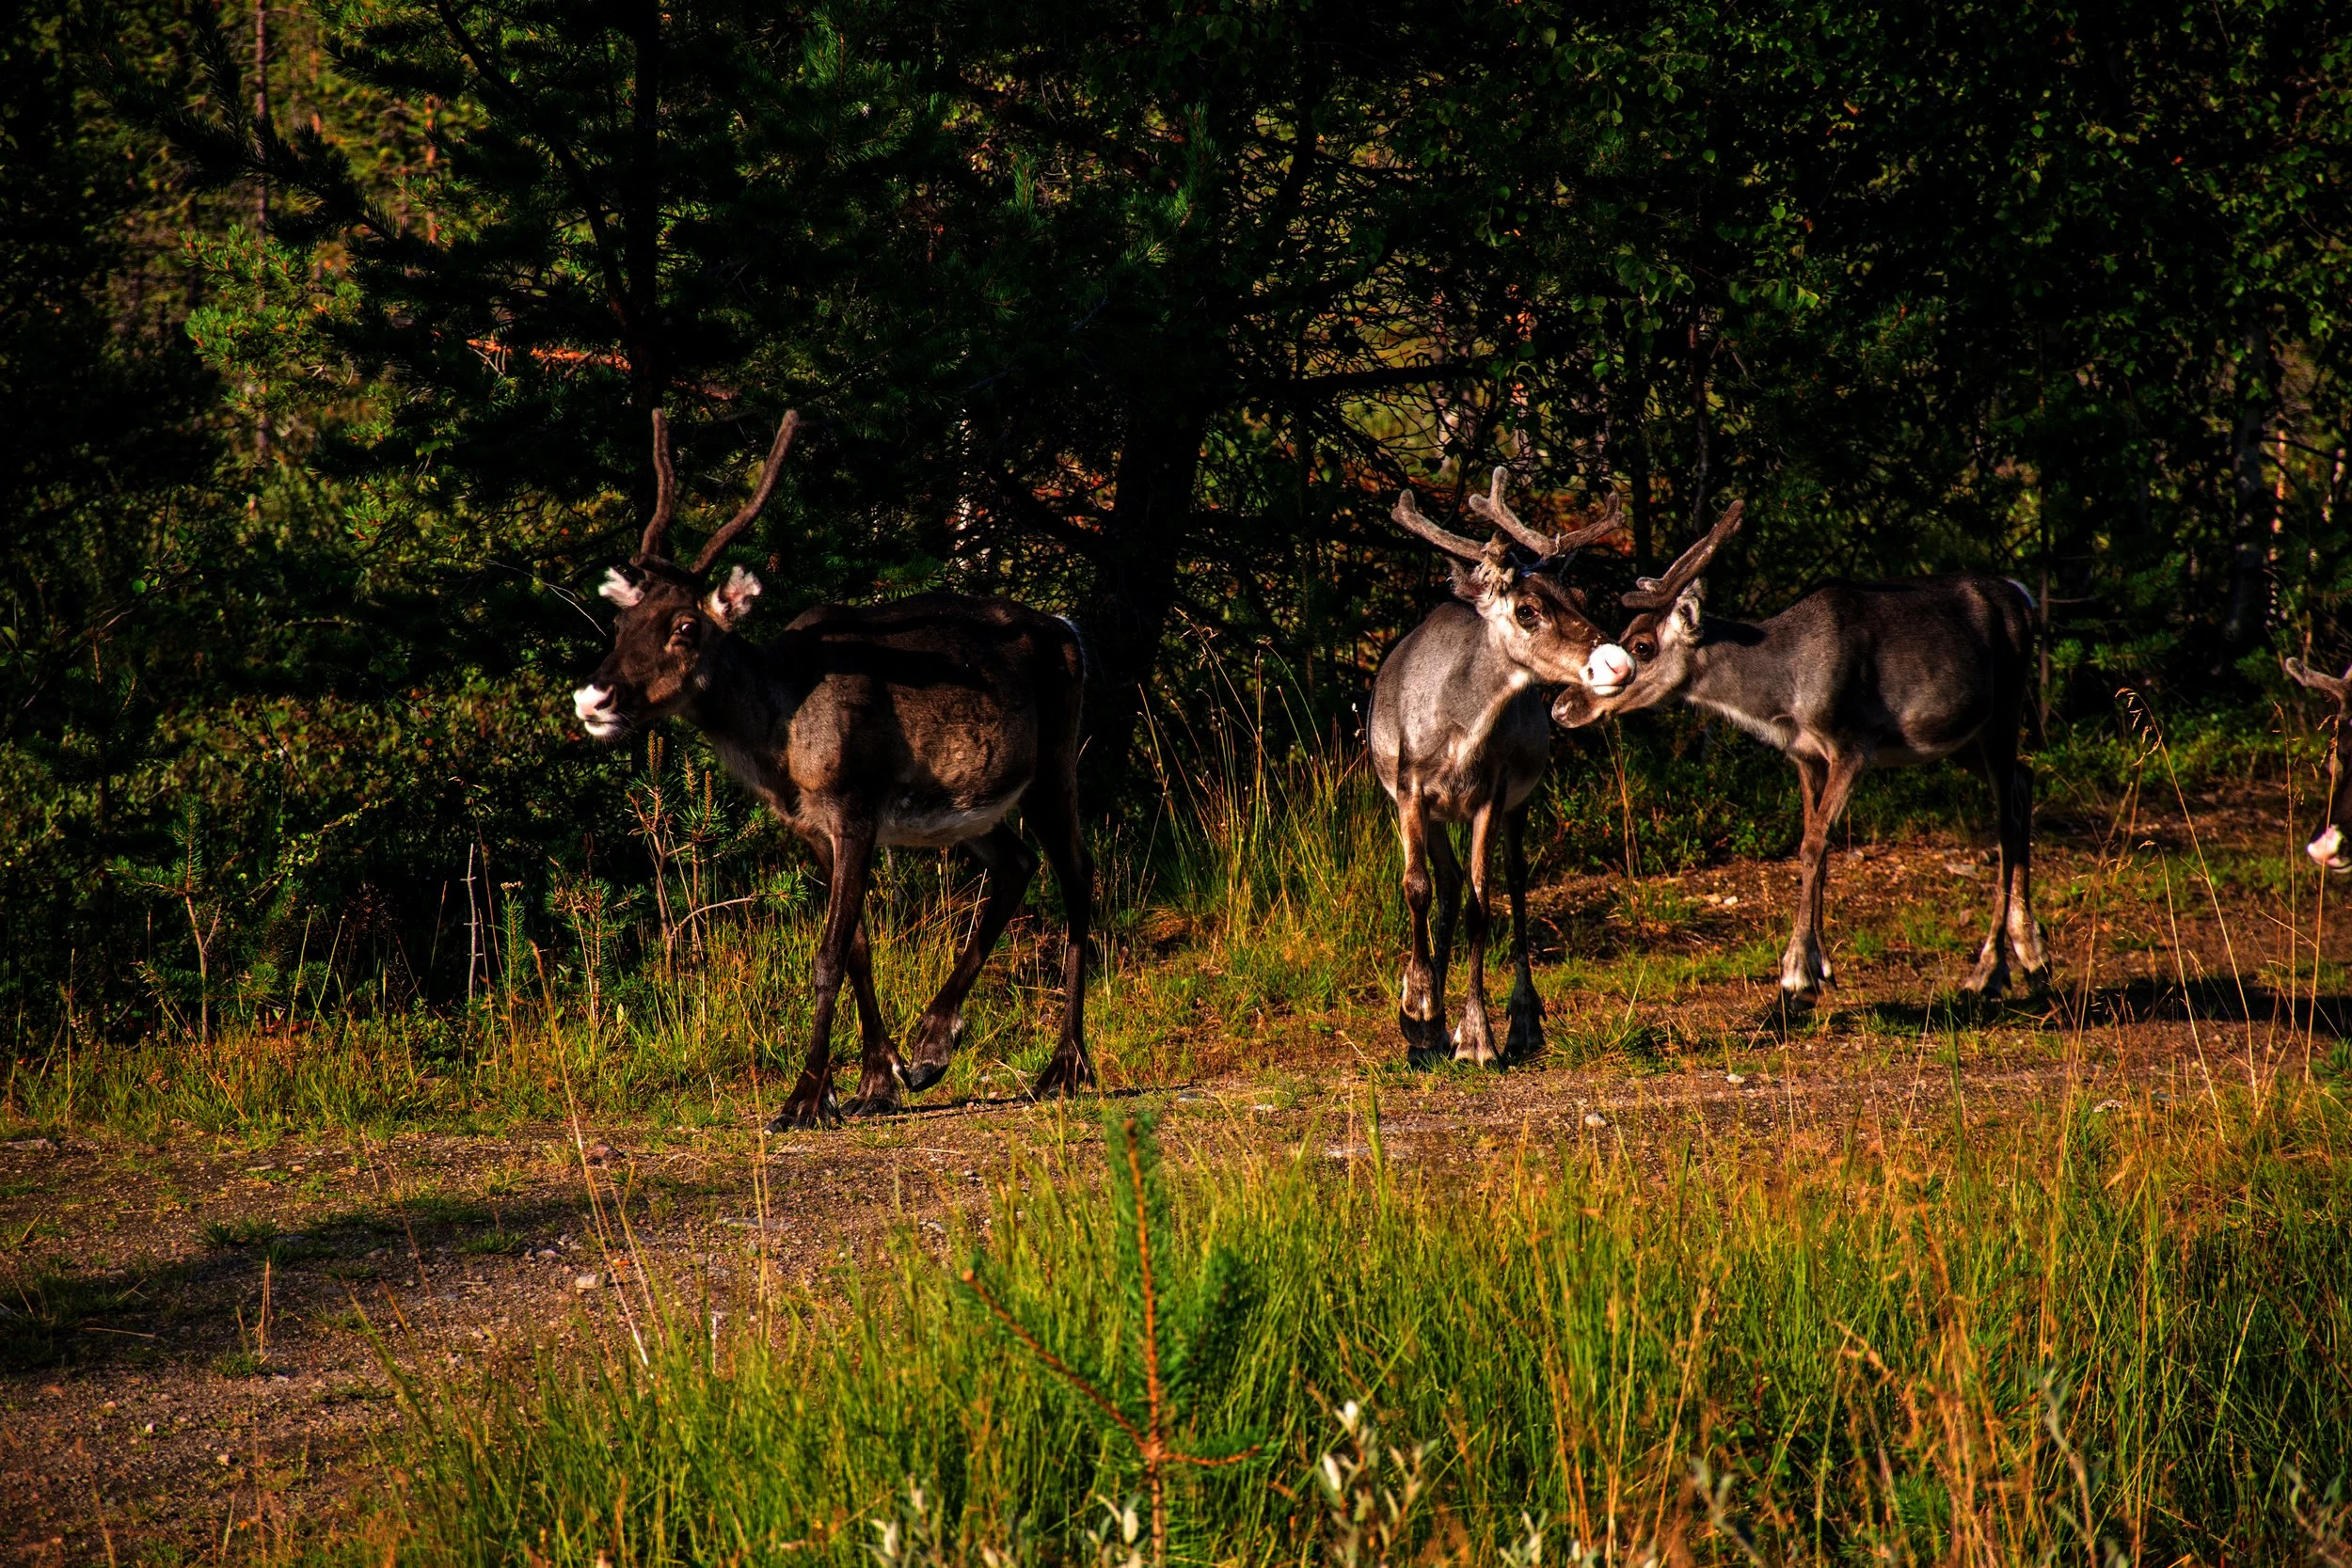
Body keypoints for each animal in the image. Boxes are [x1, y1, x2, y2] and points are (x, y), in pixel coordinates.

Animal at [572, 409, 1094, 1129]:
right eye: (622, 623)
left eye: (684, 625)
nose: (593, 698)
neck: (781, 744)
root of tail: (1070, 630)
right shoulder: (812, 828)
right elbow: (857, 950)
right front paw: (878, 1079)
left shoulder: (854, 809)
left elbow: (826, 956)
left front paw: (802, 1097)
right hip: (969, 808)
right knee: (1018, 864)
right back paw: (934, 1046)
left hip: (1053, 767)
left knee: (1079, 879)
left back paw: (1066, 1065)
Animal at [1367, 468, 1634, 1063]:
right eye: (1527, 609)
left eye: (1579, 595)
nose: (1618, 662)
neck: (1454, 735)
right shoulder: (1410, 788)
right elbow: (1416, 886)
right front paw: (1418, 1012)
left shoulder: (1492, 792)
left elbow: (1481, 904)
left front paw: (1477, 1036)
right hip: (1436, 812)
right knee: (1444, 884)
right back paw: (1431, 1033)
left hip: (1519, 802)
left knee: (1514, 881)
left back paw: (1522, 1022)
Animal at [1550, 504, 2051, 1003]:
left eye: (1641, 646)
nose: (1564, 706)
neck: (1783, 692)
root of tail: (2025, 597)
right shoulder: (1805, 755)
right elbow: (1816, 845)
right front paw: (1821, 966)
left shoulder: (1852, 743)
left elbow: (1813, 844)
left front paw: (1794, 973)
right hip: (1963, 737)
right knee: (2023, 782)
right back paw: (2032, 952)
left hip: (2005, 710)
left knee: (2005, 818)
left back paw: (1989, 969)